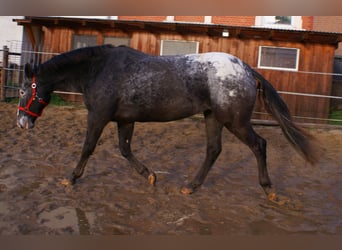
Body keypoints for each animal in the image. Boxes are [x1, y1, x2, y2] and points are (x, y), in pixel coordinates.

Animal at [16, 44, 318, 202]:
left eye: (22, 90)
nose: (21, 123)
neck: (100, 70)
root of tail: (245, 68)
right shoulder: (125, 120)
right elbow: (125, 150)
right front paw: (150, 175)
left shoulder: (98, 116)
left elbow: (88, 147)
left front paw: (70, 178)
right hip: (213, 117)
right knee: (213, 150)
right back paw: (190, 186)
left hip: (235, 121)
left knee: (259, 145)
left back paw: (269, 190)